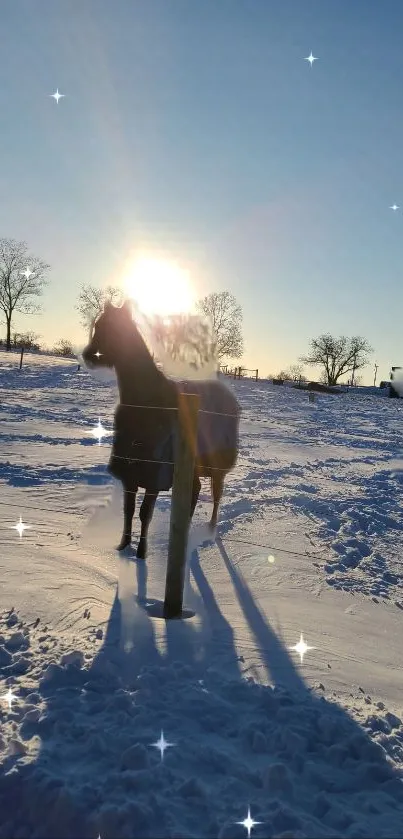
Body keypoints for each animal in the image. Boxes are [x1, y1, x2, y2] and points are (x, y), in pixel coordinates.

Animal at [82, 302, 240, 556]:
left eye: (116, 329)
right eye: (98, 325)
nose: (89, 355)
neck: (146, 404)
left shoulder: (154, 477)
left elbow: (145, 513)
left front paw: (141, 553)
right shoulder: (130, 476)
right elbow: (129, 510)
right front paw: (123, 547)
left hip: (215, 467)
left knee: (216, 495)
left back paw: (210, 530)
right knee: (195, 491)